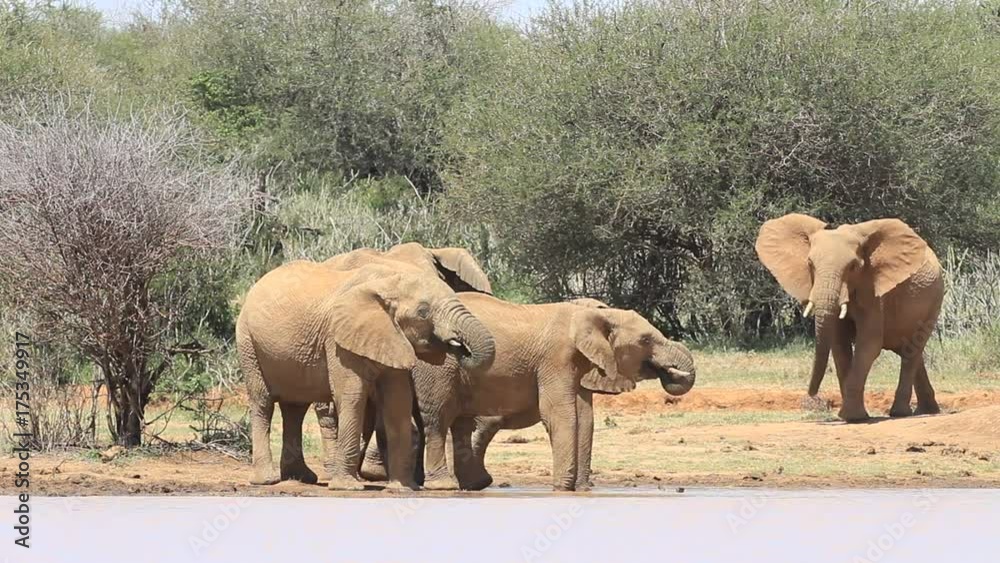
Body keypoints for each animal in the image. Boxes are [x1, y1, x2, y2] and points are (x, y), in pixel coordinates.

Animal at [236, 261, 496, 490]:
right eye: (423, 312)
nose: (460, 347)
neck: (388, 283)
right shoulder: (338, 339)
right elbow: (352, 396)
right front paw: (347, 488)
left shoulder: (392, 338)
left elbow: (397, 401)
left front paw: (403, 488)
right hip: (248, 342)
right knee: (263, 402)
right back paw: (266, 481)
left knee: (295, 408)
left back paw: (301, 478)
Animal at [375, 293, 696, 491]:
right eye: (645, 340)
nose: (670, 372)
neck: (593, 315)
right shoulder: (556, 359)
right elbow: (559, 415)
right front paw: (563, 489)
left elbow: (584, 419)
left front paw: (580, 489)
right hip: (438, 367)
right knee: (438, 419)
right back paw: (444, 486)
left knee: (458, 423)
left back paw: (470, 485)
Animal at [755, 213, 943, 422]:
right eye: (810, 264)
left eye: (853, 267)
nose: (812, 395)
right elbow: (839, 345)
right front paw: (849, 416)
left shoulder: (873, 290)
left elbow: (868, 344)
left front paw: (853, 417)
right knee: (908, 351)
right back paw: (926, 410)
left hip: (935, 300)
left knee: (912, 349)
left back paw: (900, 413)